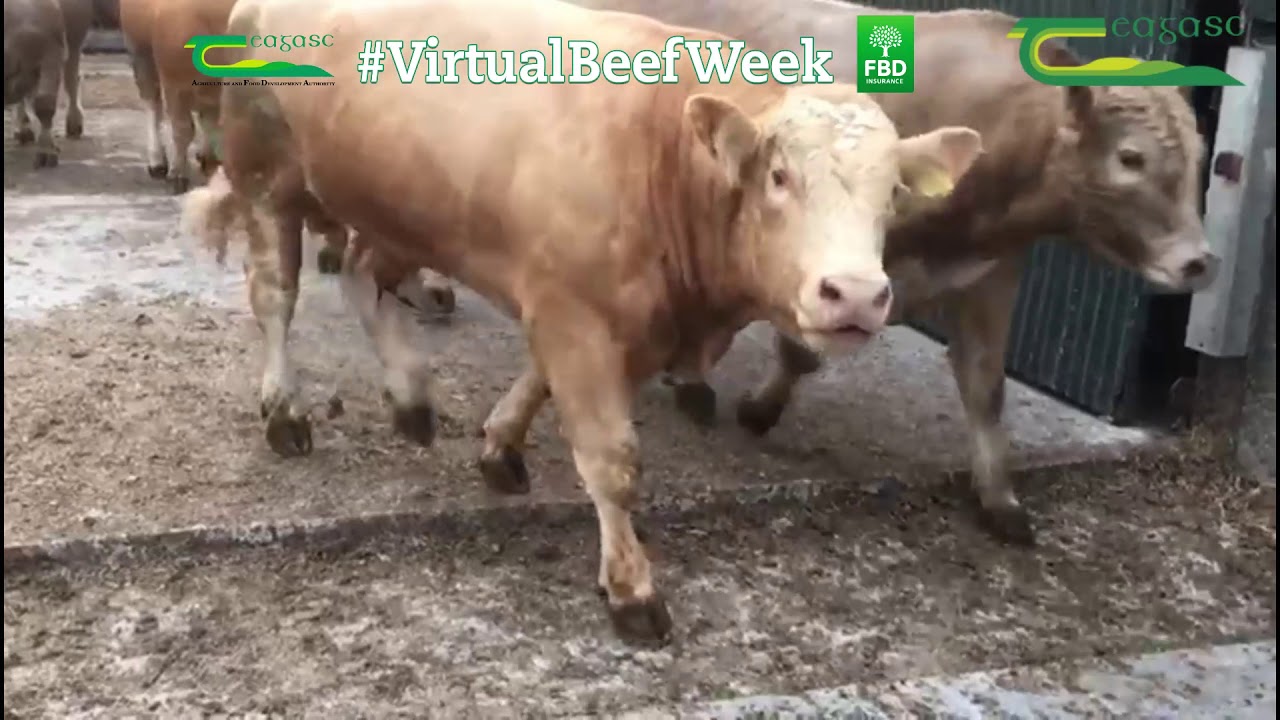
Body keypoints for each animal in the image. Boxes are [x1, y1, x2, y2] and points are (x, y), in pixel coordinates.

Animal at [4, 0, 99, 168]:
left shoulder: (51, 52)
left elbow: (45, 105)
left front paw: (46, 152)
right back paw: (24, 130)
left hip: (75, 33)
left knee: (71, 75)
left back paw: (74, 124)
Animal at [180, 0, 985, 642]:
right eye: (780, 177)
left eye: (893, 195)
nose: (855, 294)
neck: (663, 154)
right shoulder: (578, 314)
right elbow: (612, 460)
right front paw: (631, 589)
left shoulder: (582, 308)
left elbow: (539, 384)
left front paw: (499, 445)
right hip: (268, 178)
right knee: (275, 296)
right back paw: (285, 411)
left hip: (392, 205)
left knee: (362, 278)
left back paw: (410, 397)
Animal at [494, 0, 1217, 548]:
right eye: (1131, 158)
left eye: (1201, 156)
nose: (1198, 260)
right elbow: (803, 350)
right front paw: (760, 408)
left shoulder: (991, 271)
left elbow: (985, 384)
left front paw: (1000, 500)